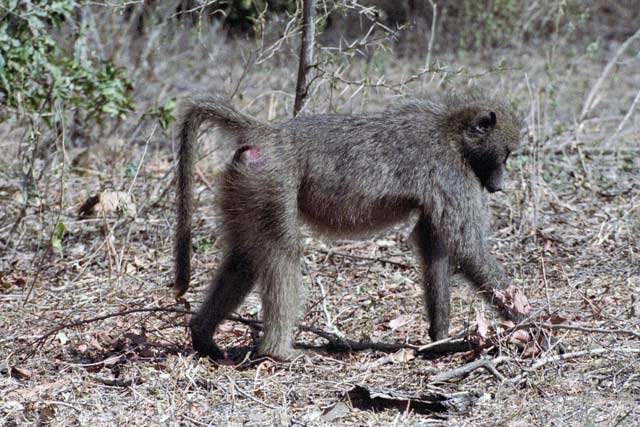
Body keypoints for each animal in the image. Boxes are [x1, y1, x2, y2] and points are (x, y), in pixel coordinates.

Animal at [173, 90, 530, 361]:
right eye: (505, 156)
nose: (499, 186)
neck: (452, 131)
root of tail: (269, 133)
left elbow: (434, 244)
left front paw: (440, 337)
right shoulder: (452, 174)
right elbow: (467, 246)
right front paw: (529, 321)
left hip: (245, 183)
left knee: (244, 258)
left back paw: (203, 337)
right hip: (272, 182)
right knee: (281, 254)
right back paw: (278, 352)